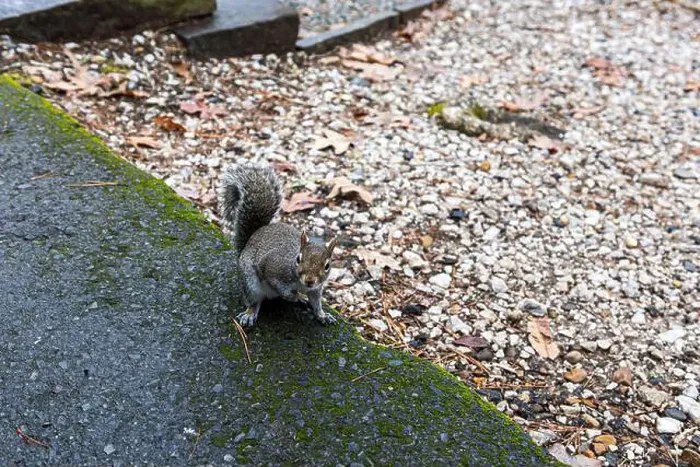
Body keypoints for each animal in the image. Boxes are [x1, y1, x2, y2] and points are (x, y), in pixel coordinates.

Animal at [219, 163, 338, 327]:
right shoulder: (273, 269)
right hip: (250, 283)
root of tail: (249, 242)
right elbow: (280, 288)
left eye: (327, 266)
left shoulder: (316, 288)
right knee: (253, 301)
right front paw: (293, 296)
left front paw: (322, 315)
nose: (310, 280)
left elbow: (316, 303)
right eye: (298, 259)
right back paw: (250, 313)